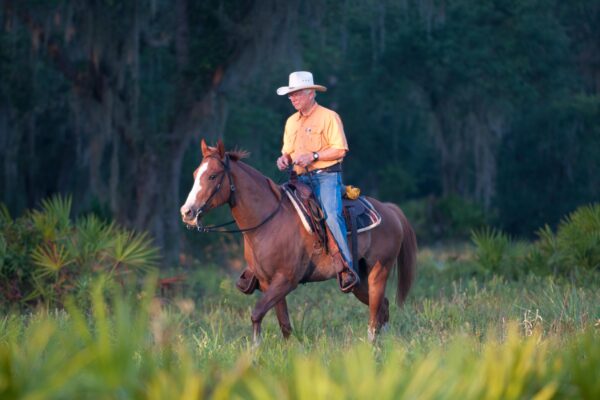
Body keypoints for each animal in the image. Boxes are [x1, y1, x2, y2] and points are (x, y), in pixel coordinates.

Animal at [179, 139, 418, 342]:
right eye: (195, 174)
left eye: (212, 176)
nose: (187, 212)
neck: (269, 222)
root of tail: (389, 210)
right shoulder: (268, 282)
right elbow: (284, 324)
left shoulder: (286, 280)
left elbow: (257, 313)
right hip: (359, 281)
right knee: (383, 307)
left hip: (379, 271)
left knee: (375, 316)